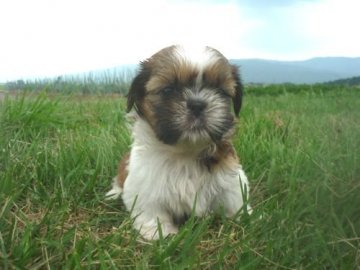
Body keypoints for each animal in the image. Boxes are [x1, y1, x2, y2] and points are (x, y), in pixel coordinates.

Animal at [107, 44, 252, 240]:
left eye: (221, 91)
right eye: (168, 90)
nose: (197, 104)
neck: (185, 152)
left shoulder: (230, 178)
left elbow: (235, 198)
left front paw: (245, 218)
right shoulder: (145, 186)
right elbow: (151, 210)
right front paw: (159, 234)